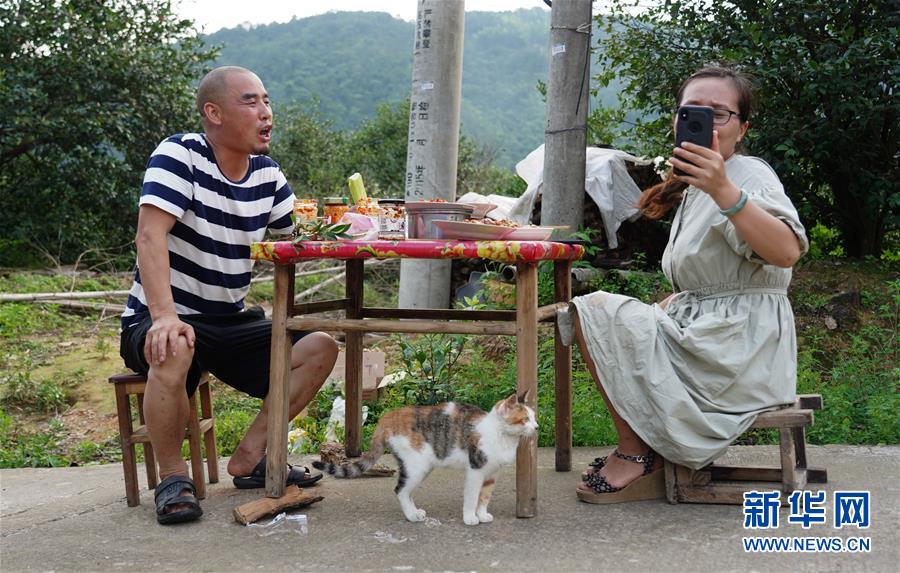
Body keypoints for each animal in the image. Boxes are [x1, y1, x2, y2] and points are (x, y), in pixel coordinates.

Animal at [312, 392, 536, 524]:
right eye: (525, 419)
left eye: (533, 417)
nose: (536, 426)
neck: (501, 435)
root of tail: (388, 417)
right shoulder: (475, 470)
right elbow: (472, 497)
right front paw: (470, 517)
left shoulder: (491, 474)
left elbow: (484, 497)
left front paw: (482, 515)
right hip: (417, 465)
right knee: (400, 490)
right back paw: (411, 516)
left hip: (418, 467)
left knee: (406, 491)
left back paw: (415, 512)